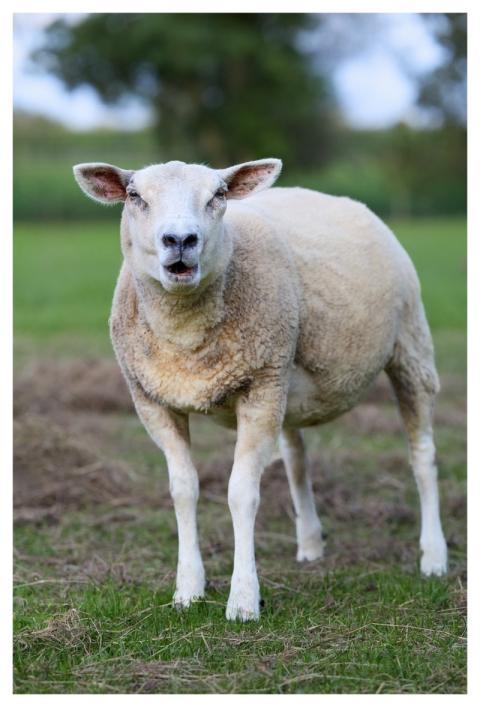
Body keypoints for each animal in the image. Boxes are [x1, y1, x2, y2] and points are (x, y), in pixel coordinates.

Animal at [73, 158, 448, 621]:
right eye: (134, 196)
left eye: (218, 194)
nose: (180, 240)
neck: (184, 336)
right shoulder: (152, 399)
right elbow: (183, 490)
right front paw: (187, 590)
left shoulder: (260, 387)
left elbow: (241, 494)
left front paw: (243, 600)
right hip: (287, 381)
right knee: (297, 459)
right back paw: (310, 543)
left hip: (409, 345)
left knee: (423, 456)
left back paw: (434, 557)